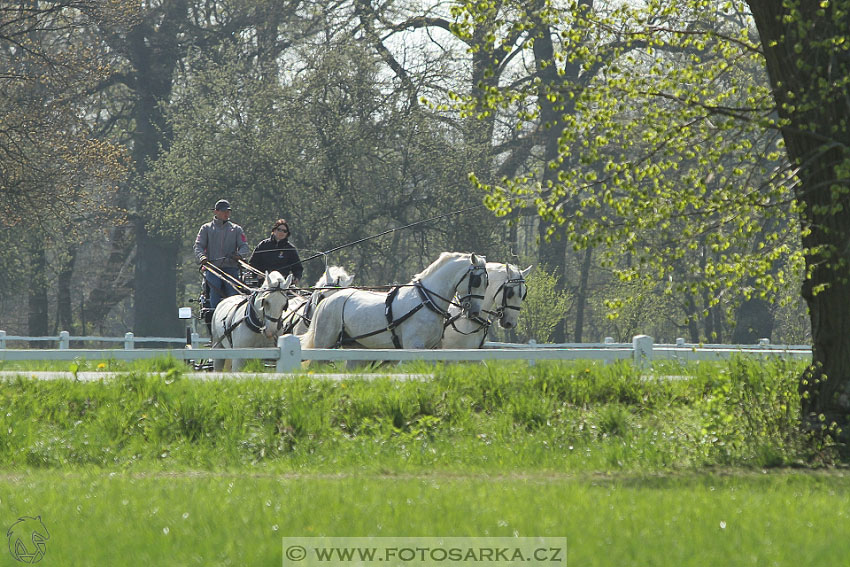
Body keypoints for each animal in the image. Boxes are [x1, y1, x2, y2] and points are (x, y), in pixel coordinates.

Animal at [300, 253, 486, 350]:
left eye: (487, 282)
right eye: (477, 281)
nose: (474, 312)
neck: (426, 301)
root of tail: (328, 300)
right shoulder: (413, 346)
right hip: (324, 344)